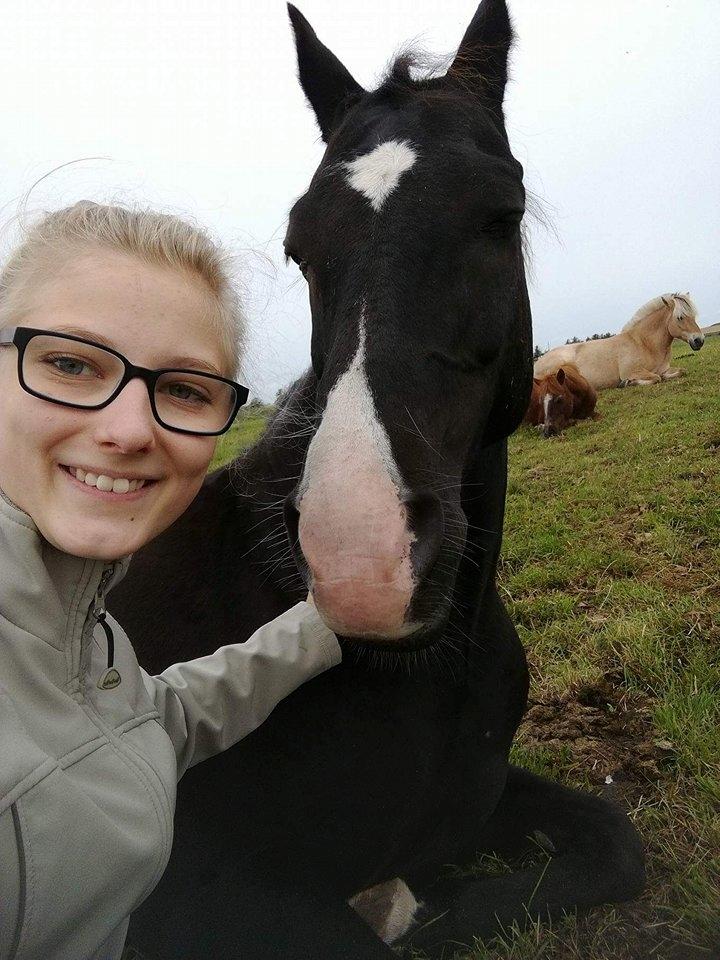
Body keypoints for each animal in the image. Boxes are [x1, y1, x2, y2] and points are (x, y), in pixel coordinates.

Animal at [534, 292, 704, 389]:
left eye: (694, 316)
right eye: (680, 317)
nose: (699, 340)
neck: (643, 343)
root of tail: (537, 363)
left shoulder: (663, 369)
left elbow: (679, 371)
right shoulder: (631, 371)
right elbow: (656, 378)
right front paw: (628, 383)